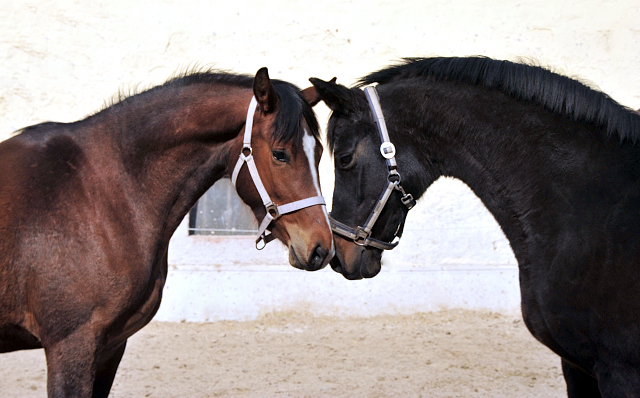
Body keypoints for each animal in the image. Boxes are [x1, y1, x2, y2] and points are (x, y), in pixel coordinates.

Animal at [1, 68, 336, 398]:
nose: (321, 247)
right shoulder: (72, 345)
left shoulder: (110, 347)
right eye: (280, 154)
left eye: (319, 152)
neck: (97, 194)